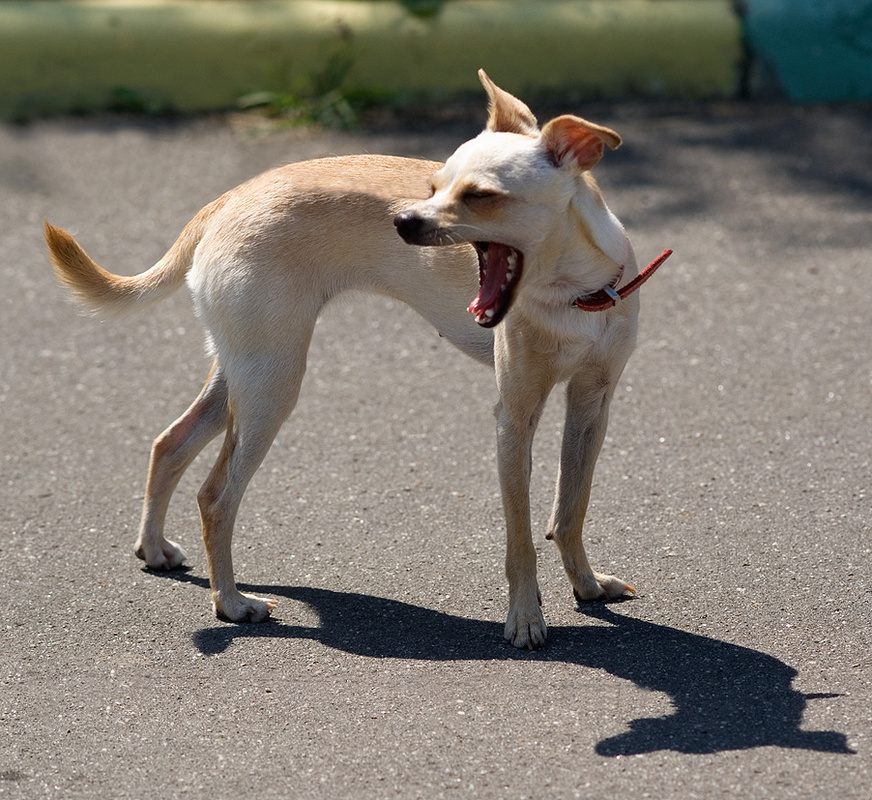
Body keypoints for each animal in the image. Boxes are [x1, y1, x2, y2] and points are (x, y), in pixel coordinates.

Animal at [44, 72, 664, 648]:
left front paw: (586, 585)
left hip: (243, 376)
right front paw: (526, 618)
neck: (575, 295)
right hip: (271, 387)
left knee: (169, 443)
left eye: (480, 196)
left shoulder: (591, 404)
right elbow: (520, 538)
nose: (403, 221)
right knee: (215, 496)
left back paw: (153, 547)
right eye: (434, 186)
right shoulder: (514, 419)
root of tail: (228, 199)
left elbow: (570, 510)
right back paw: (232, 603)